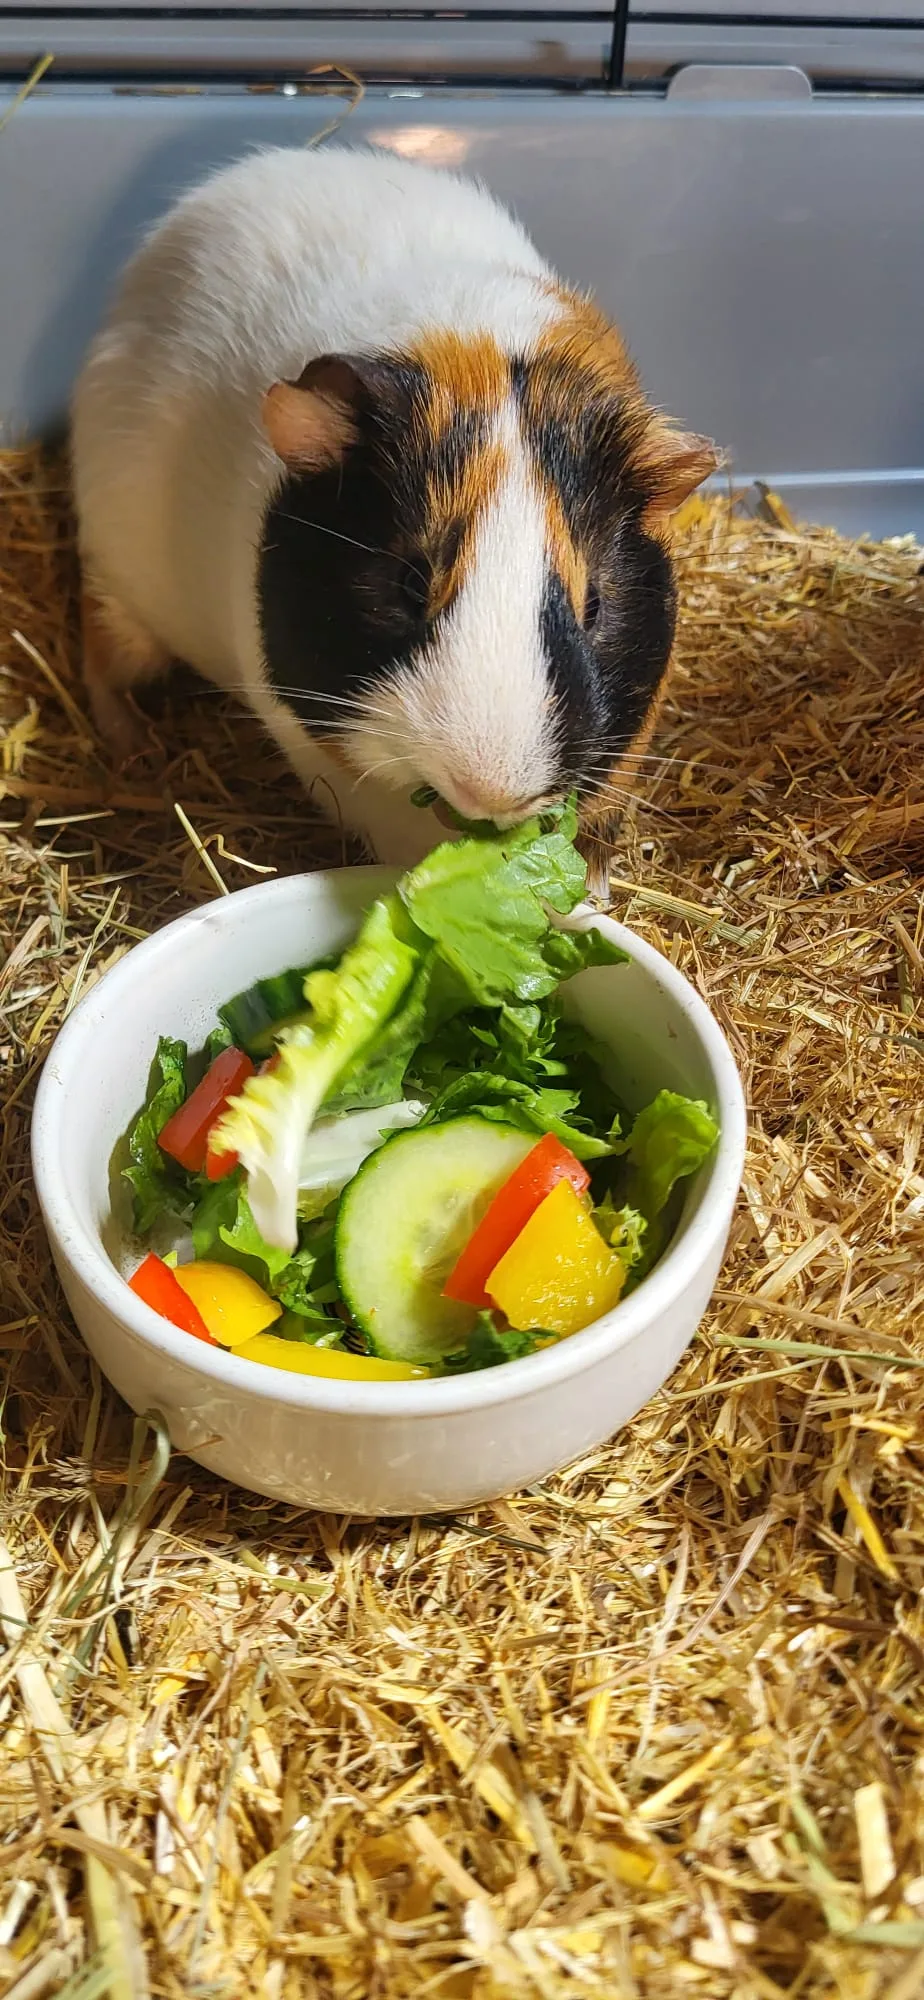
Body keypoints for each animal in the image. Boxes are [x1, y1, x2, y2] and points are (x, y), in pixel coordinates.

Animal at [71, 143, 718, 882]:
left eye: (595, 607)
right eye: (409, 582)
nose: (489, 788)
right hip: (118, 590)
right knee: (101, 661)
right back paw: (133, 748)